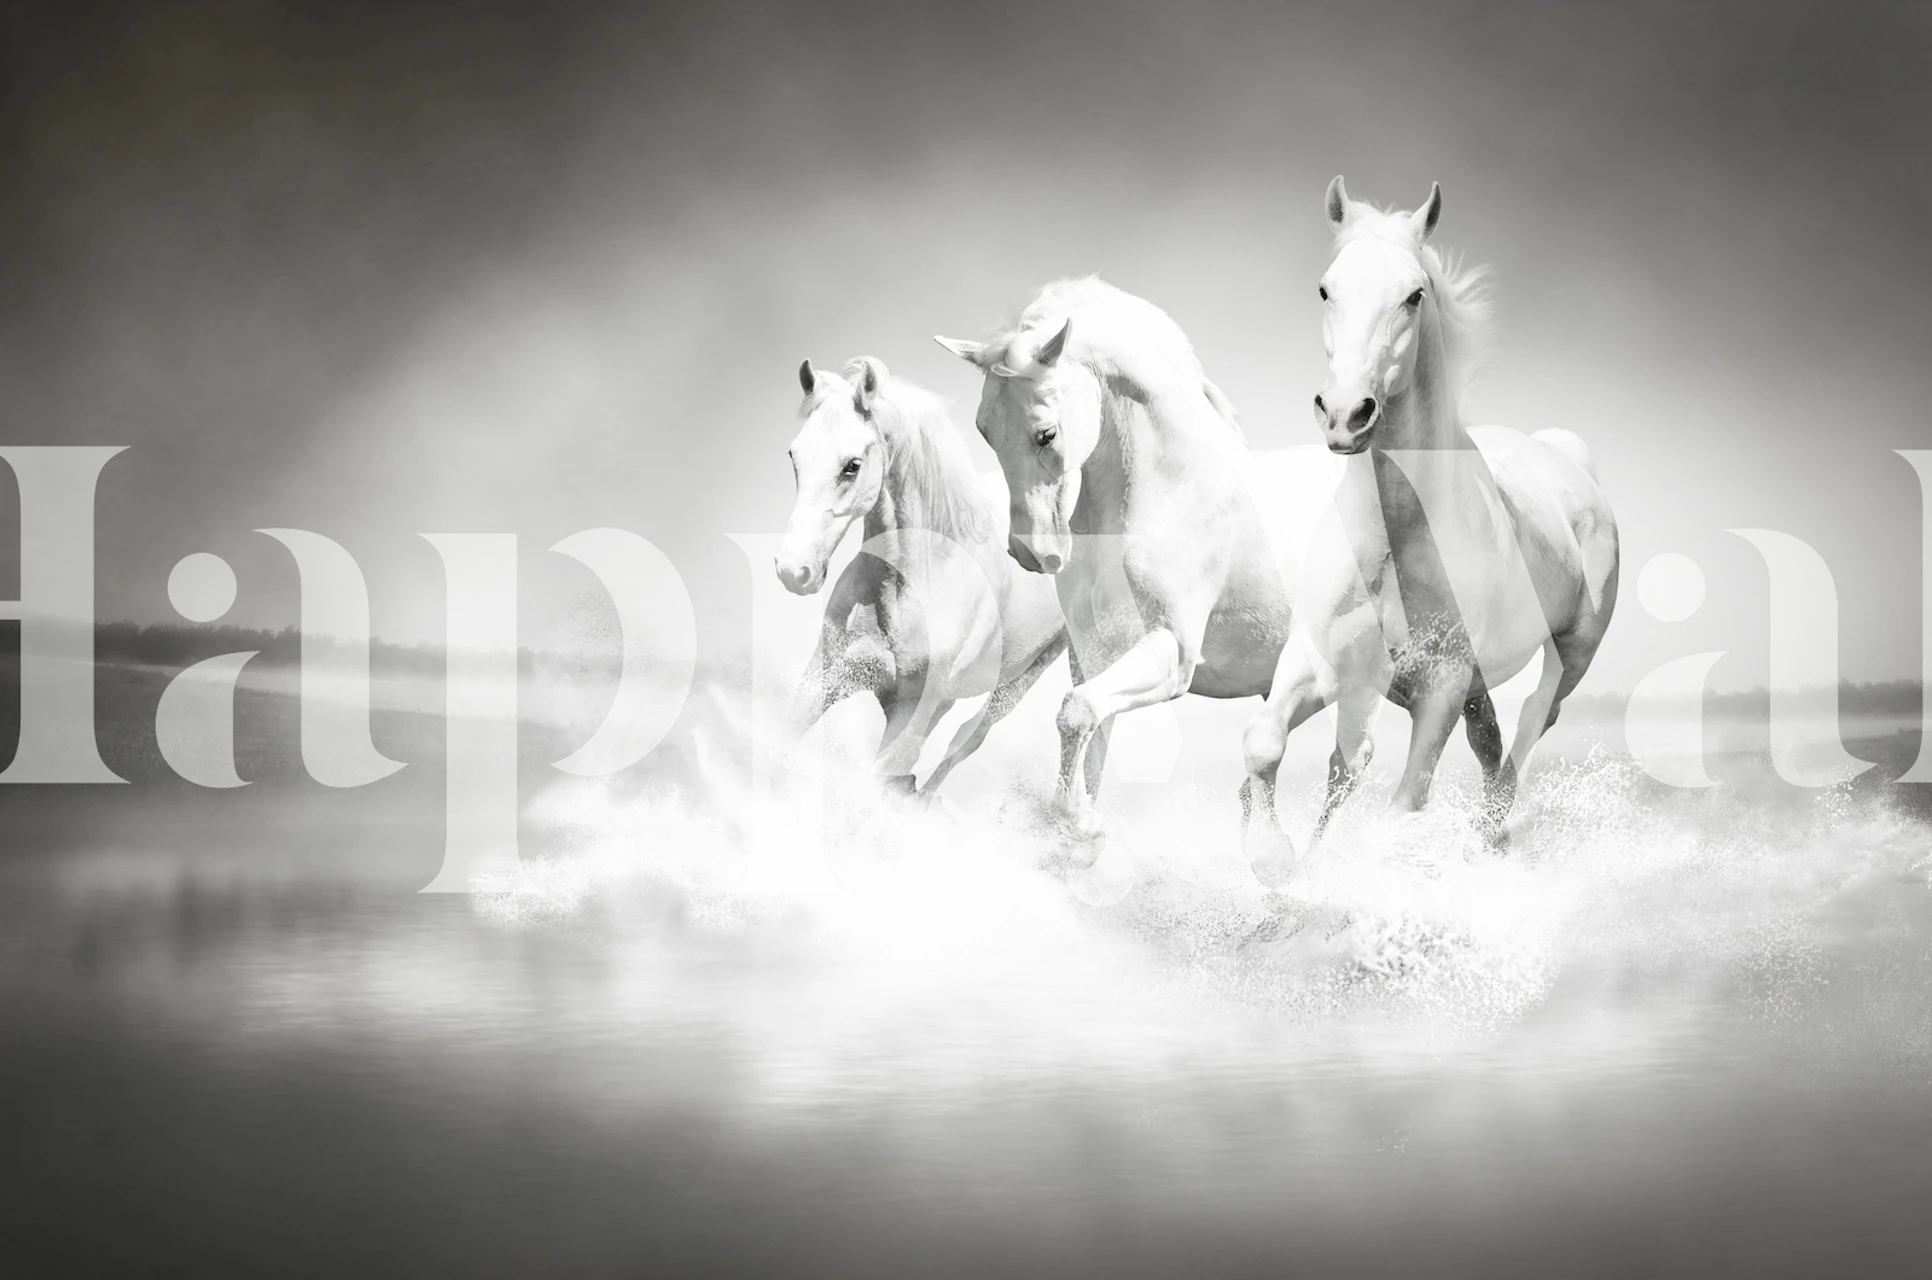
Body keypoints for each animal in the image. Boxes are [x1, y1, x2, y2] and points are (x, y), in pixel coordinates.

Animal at [776, 356, 1068, 801]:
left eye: (852, 466)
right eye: (795, 456)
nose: (794, 571)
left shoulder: (910, 715)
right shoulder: (826, 676)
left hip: (1020, 681)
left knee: (966, 740)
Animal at [936, 278, 1373, 853]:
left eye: (1046, 433)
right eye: (984, 430)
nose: (1032, 553)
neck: (1170, 489)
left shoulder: (1173, 653)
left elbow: (1075, 713)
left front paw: (1077, 823)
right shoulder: (1095, 655)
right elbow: (1089, 732)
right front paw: (1080, 830)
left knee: (1351, 764)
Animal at [1239, 178, 1620, 880]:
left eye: (1414, 295)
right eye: (1326, 288)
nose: (1346, 414)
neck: (1400, 532)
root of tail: (1569, 460)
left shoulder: (1439, 686)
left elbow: (1402, 805)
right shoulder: (1321, 660)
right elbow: (1269, 743)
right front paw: (1276, 861)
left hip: (1567, 658)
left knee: (1523, 745)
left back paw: (1489, 841)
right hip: (1474, 687)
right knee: (1488, 746)